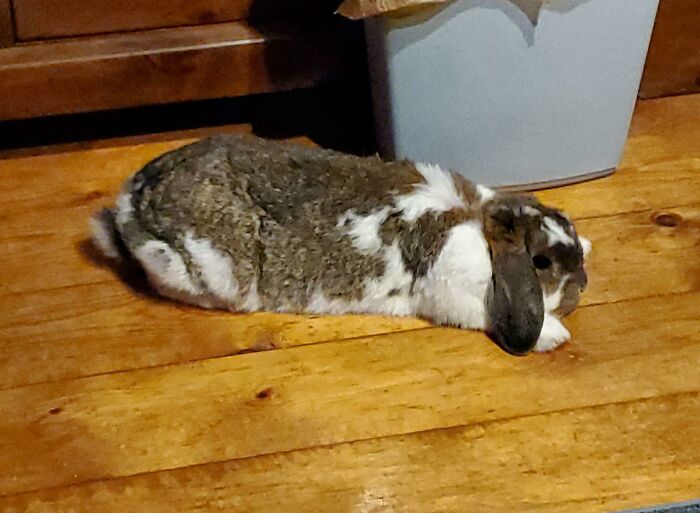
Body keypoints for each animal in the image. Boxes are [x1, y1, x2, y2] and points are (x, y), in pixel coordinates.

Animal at [90, 134, 591, 355]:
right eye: (540, 262)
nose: (581, 288)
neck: (481, 227)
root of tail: (130, 202)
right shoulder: (458, 293)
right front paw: (555, 335)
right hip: (201, 268)